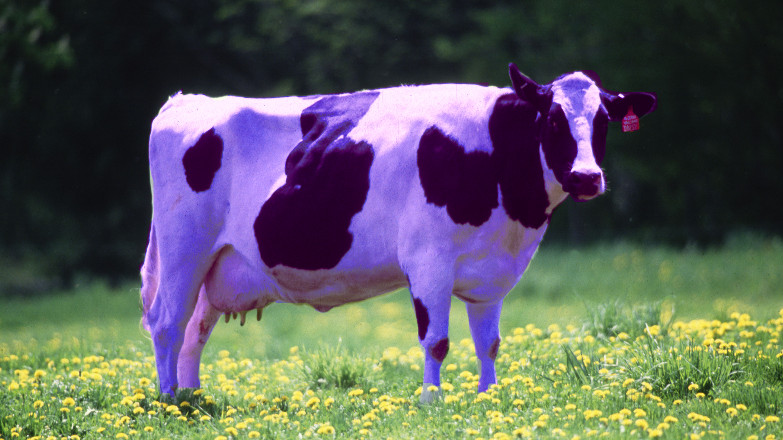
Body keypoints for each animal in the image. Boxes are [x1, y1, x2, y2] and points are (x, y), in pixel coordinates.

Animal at [139, 62, 656, 402]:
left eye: (604, 121)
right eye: (553, 118)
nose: (587, 177)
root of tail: (185, 102)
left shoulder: (492, 272)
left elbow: (488, 343)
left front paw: (489, 398)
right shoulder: (429, 260)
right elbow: (437, 341)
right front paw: (431, 401)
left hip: (218, 263)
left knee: (194, 331)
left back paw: (194, 398)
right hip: (184, 248)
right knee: (167, 323)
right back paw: (170, 402)